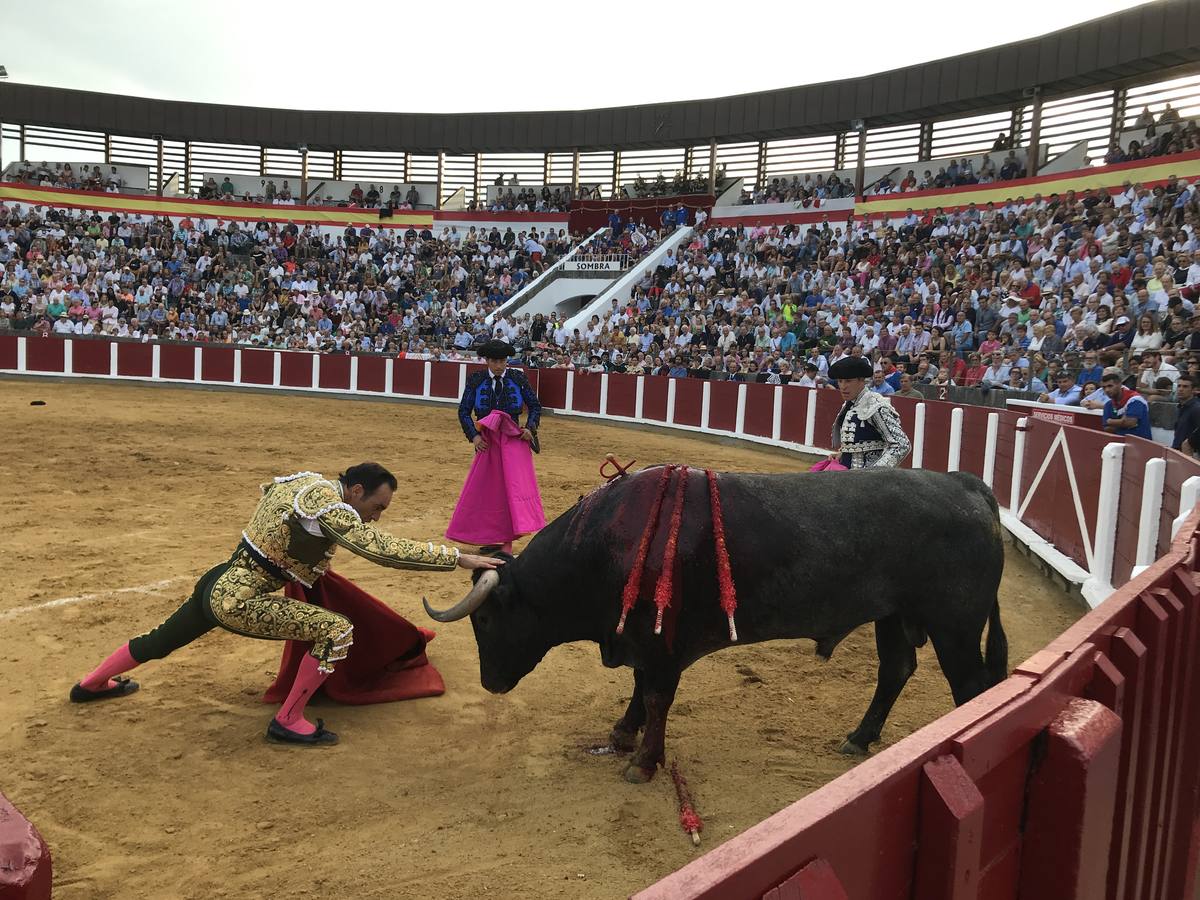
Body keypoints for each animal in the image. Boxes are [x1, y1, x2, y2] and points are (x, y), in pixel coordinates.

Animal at [427, 468, 1008, 787]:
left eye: (484, 618)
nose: (490, 683)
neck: (605, 546)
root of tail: (967, 486)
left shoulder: (663, 646)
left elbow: (656, 696)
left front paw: (643, 763)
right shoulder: (642, 641)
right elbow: (638, 687)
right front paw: (623, 733)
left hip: (955, 625)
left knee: (970, 687)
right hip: (894, 615)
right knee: (896, 669)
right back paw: (858, 739)